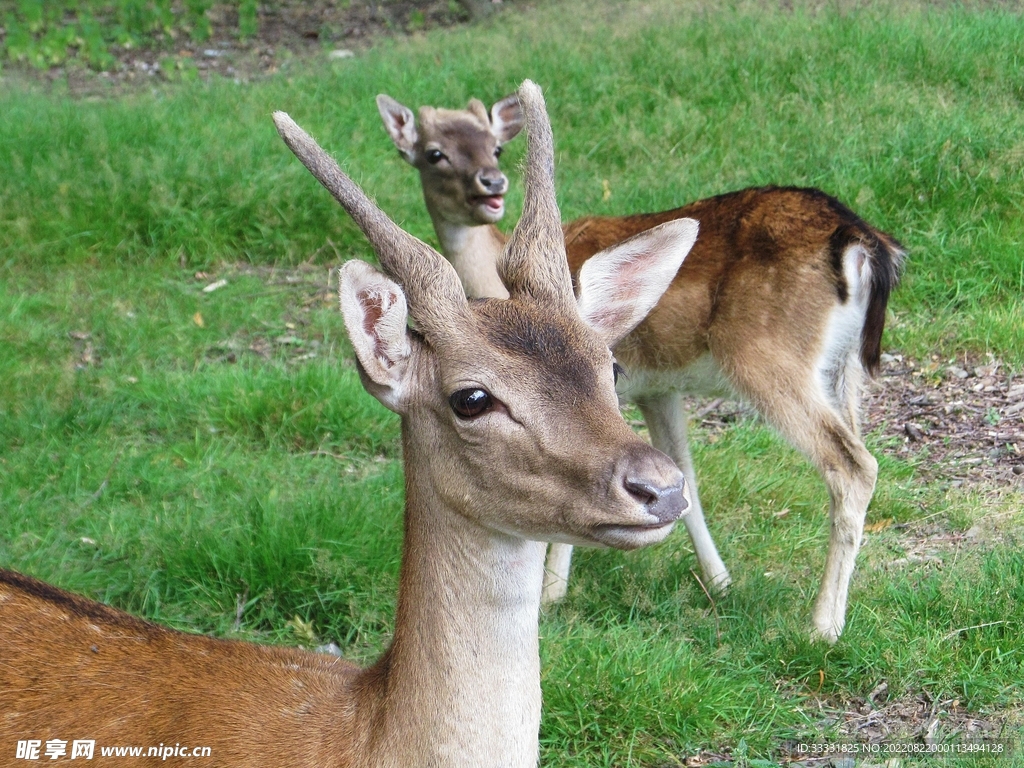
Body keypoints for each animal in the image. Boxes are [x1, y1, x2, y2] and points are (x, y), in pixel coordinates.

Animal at [376, 92, 906, 643]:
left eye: (496, 147)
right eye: (435, 153)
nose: (492, 184)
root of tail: (863, 242)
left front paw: (551, 594)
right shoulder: (658, 387)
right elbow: (683, 473)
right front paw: (719, 582)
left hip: (769, 357)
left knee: (853, 465)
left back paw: (822, 626)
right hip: (845, 369)